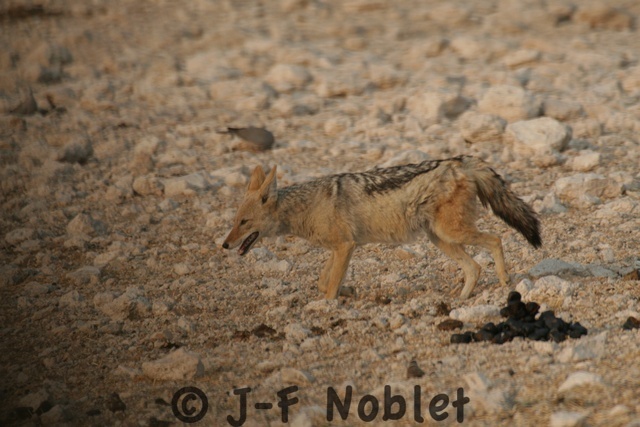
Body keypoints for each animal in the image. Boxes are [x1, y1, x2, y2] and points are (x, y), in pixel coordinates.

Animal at [222, 155, 541, 299]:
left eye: (244, 222)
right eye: (234, 222)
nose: (224, 244)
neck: (307, 206)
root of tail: (459, 162)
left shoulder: (345, 246)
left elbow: (329, 287)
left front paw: (328, 307)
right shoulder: (340, 248)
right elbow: (324, 281)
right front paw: (345, 292)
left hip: (451, 234)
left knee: (496, 239)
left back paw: (504, 281)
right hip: (440, 239)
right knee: (474, 267)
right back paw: (461, 298)